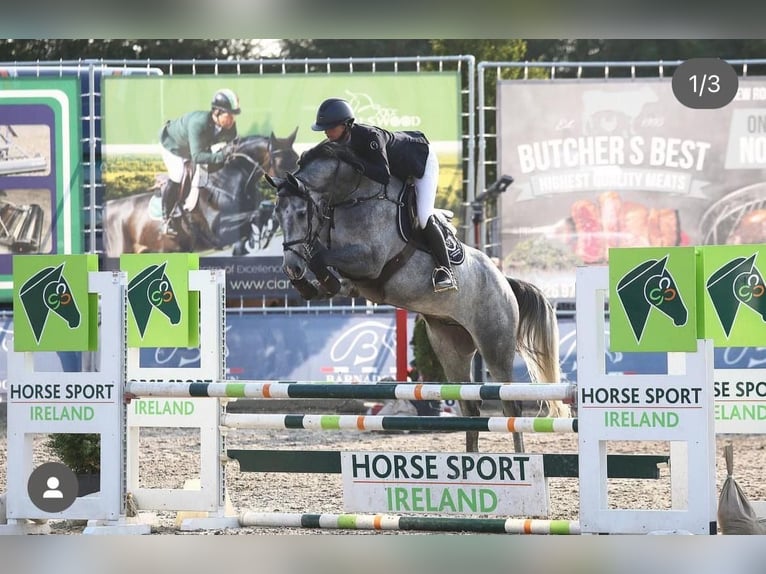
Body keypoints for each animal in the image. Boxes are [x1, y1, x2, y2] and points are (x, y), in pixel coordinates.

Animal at [270, 141, 568, 454]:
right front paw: (309, 284)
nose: (291, 267)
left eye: (300, 213)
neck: (351, 196)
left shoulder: (370, 262)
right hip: (451, 348)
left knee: (511, 407)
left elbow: (323, 257)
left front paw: (314, 271)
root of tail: (505, 283)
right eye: (277, 213)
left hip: (495, 345)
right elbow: (329, 273)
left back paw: (518, 457)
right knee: (470, 408)